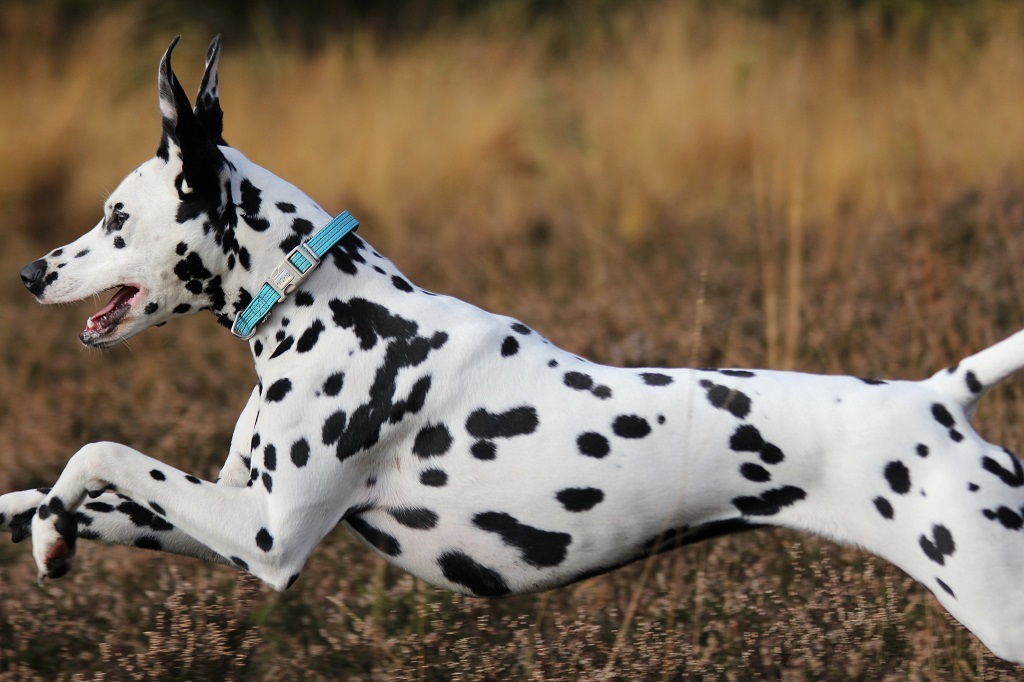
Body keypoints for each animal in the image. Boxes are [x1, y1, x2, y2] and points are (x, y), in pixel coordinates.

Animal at [2, 34, 1024, 659]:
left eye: (114, 217)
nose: (31, 273)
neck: (326, 302)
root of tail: (941, 396)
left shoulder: (265, 536)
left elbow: (98, 449)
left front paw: (52, 525)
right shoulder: (221, 520)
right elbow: (68, 487)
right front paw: (40, 522)